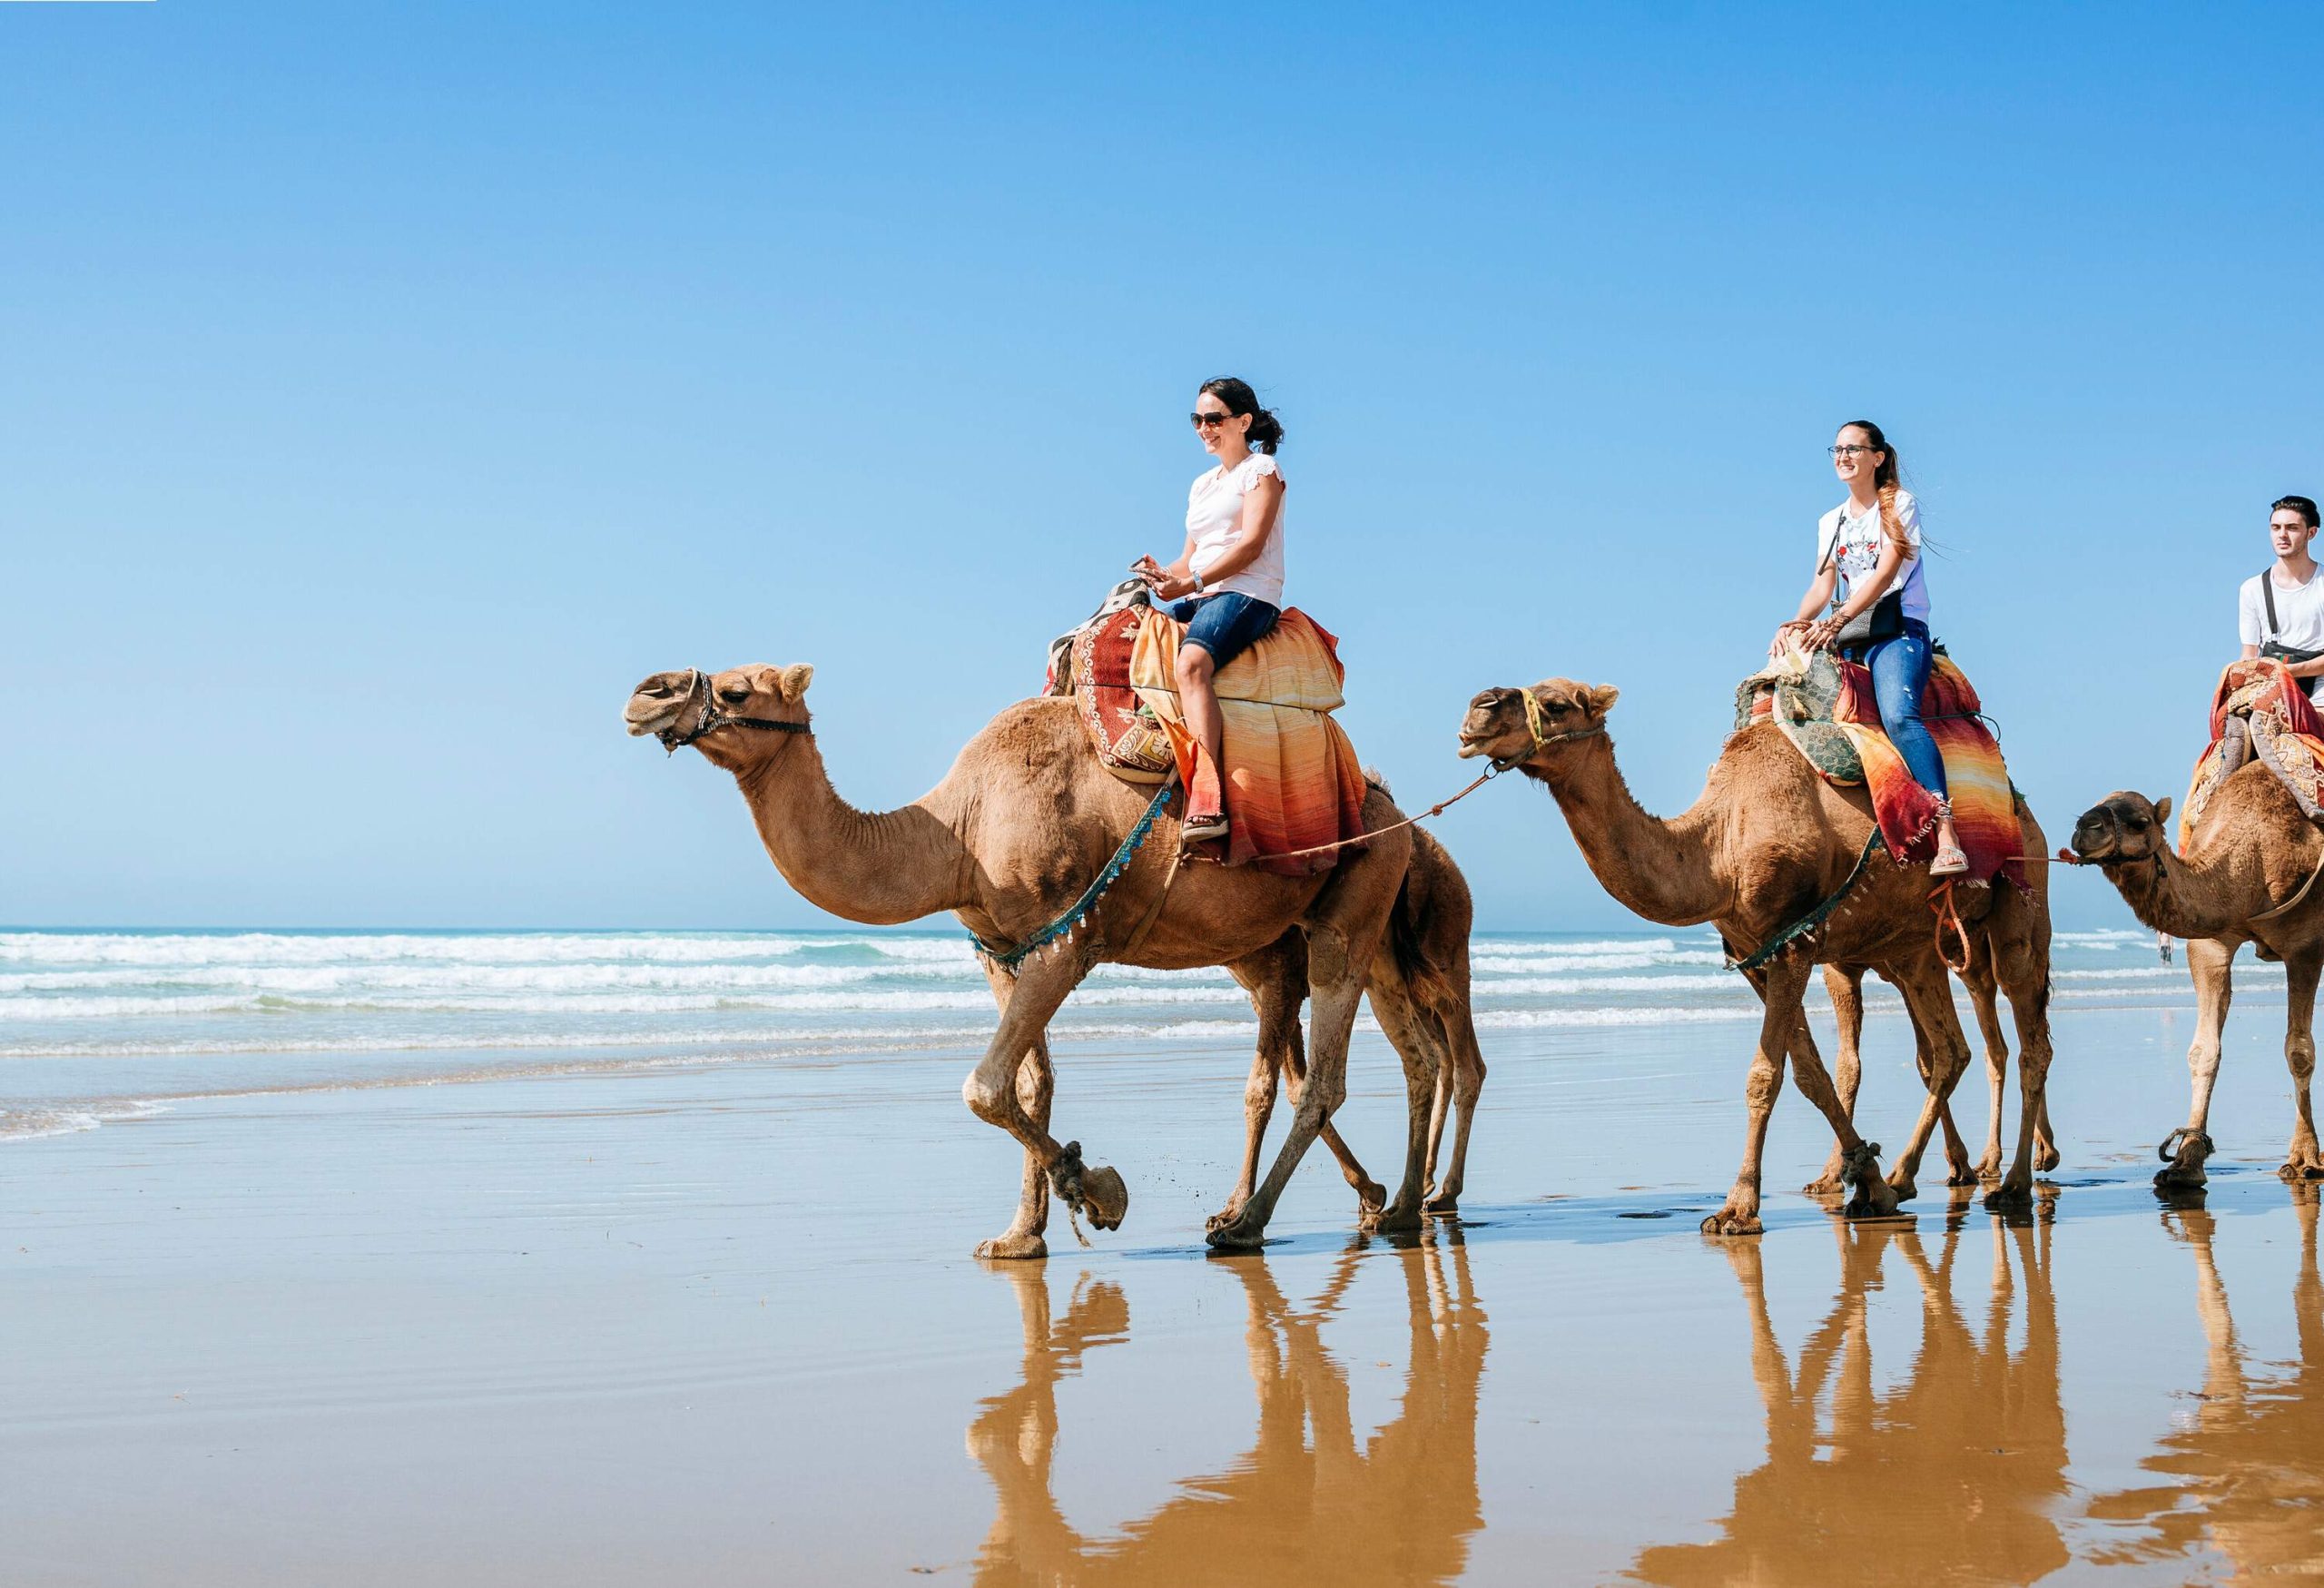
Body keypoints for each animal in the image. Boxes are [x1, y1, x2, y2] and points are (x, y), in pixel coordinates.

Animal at [632, 660, 1468, 1255]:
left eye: (735, 688)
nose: (645, 694)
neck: (957, 830)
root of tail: (1397, 813)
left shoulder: (1067, 938)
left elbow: (983, 1086)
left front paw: (1096, 1190)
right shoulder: (1002, 950)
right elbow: (1029, 1086)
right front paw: (1020, 1235)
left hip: (1353, 905)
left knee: (1328, 1077)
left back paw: (1253, 1222)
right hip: (1299, 937)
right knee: (1383, 1061)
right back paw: (1390, 1206)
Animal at [1450, 678, 2054, 1237]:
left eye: (1554, 705)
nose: (1478, 709)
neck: (1720, 848)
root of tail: (2022, 809)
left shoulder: (1795, 944)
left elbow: (1765, 1075)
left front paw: (1738, 1207)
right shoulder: (1754, 953)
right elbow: (1811, 1073)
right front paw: (1869, 1184)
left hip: (2020, 905)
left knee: (2029, 1041)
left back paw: (2015, 1184)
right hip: (1913, 948)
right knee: (1949, 1052)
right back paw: (1911, 1175)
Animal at [2073, 776, 2324, 1185]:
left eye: (2140, 821)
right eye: (2093, 805)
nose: (2085, 827)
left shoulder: (2305, 944)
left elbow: (2299, 1051)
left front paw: (2304, 1158)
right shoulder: (2210, 944)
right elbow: (2203, 1051)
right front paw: (2186, 1162)